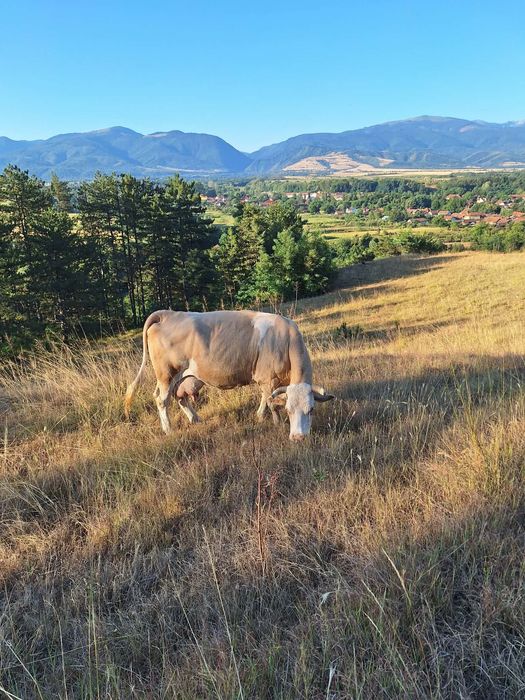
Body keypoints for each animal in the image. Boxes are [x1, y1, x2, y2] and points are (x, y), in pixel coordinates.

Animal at [124, 310, 334, 441]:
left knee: (178, 397)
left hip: (179, 377)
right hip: (167, 374)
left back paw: (195, 419)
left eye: (311, 409)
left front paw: (260, 416)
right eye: (289, 410)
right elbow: (271, 402)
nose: (298, 437)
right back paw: (168, 429)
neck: (285, 340)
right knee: (162, 400)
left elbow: (265, 400)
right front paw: (274, 422)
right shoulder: (268, 379)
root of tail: (167, 314)